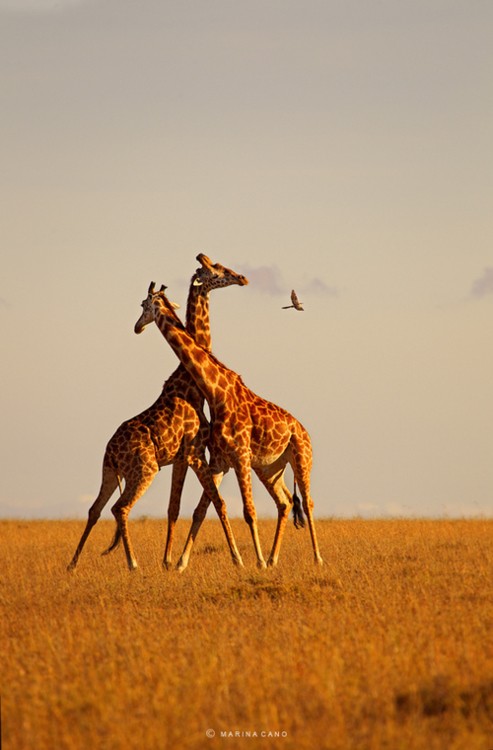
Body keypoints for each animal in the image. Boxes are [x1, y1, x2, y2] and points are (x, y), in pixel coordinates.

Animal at [66, 256, 246, 572]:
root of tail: (111, 450)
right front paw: (235, 559)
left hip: (109, 472)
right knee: (120, 508)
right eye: (218, 270)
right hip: (144, 470)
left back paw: (73, 563)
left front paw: (168, 561)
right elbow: (217, 503)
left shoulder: (180, 457)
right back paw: (133, 563)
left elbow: (174, 507)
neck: (189, 383)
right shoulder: (194, 453)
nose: (242, 278)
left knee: (95, 508)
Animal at [134, 284, 322, 572]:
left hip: (301, 457)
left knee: (308, 502)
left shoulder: (240, 456)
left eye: (144, 305)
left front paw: (256, 562)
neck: (216, 394)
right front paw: (181, 563)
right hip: (270, 468)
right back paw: (273, 558)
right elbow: (202, 510)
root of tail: (303, 429)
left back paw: (316, 558)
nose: (137, 327)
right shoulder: (220, 461)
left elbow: (248, 511)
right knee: (285, 501)